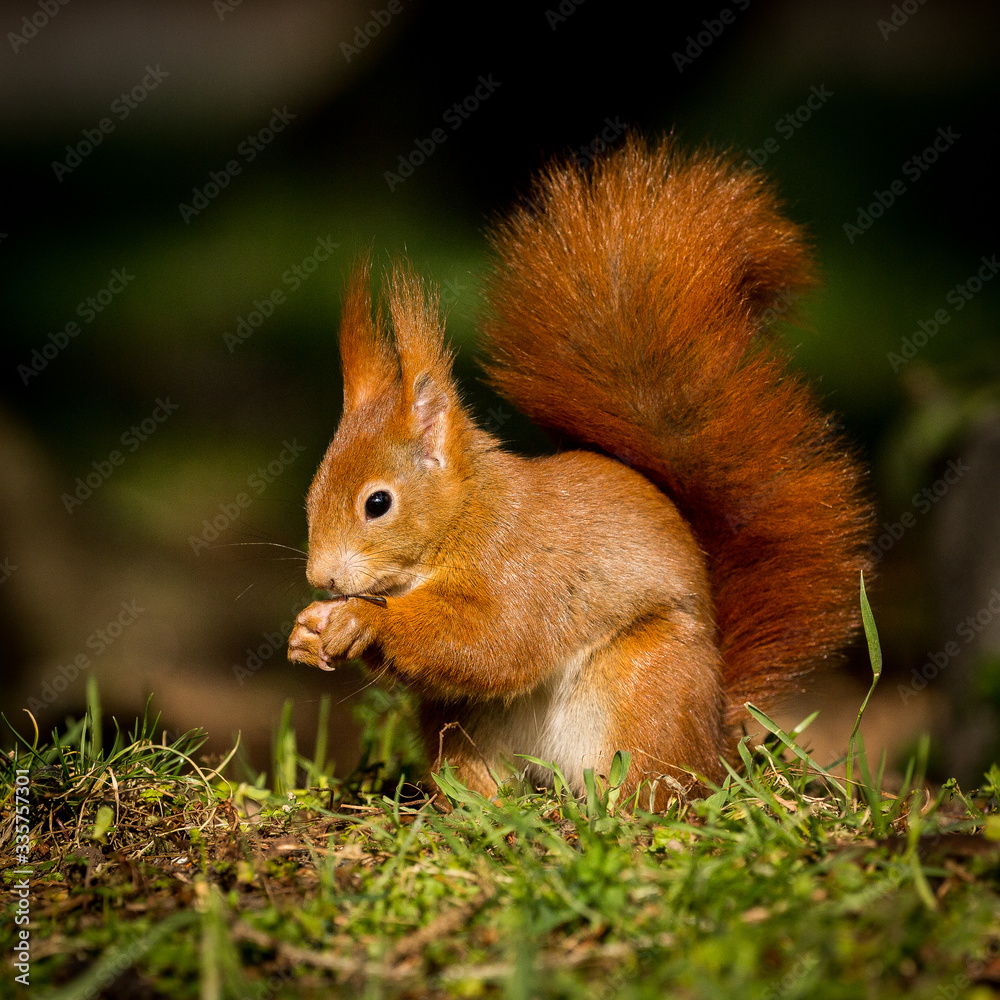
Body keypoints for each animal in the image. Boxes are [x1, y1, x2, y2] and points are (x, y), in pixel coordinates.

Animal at [287, 137, 873, 806]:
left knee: (652, 784)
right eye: (311, 495)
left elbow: (493, 639)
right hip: (463, 727)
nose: (323, 579)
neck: (466, 516)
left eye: (377, 503)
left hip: (646, 684)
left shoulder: (522, 568)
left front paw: (362, 618)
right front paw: (308, 631)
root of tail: (714, 739)